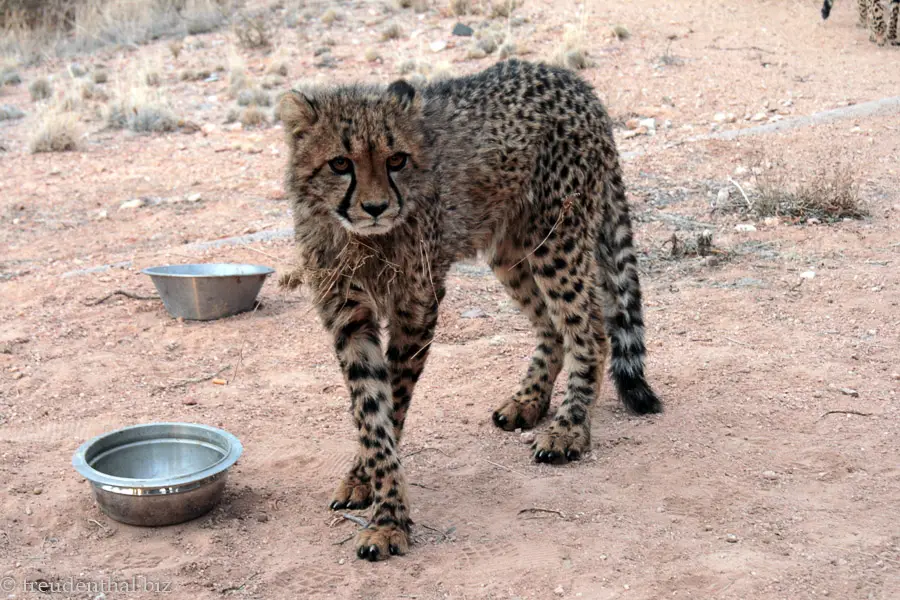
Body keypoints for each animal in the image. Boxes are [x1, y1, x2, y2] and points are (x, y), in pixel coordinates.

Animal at [278, 58, 664, 560]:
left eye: (396, 159)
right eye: (340, 163)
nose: (376, 207)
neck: (366, 238)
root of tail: (566, 75)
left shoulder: (416, 307)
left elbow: (391, 407)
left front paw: (387, 519)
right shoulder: (349, 317)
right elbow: (370, 412)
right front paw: (366, 483)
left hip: (557, 238)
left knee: (590, 329)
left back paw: (569, 429)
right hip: (512, 248)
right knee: (552, 327)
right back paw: (528, 402)